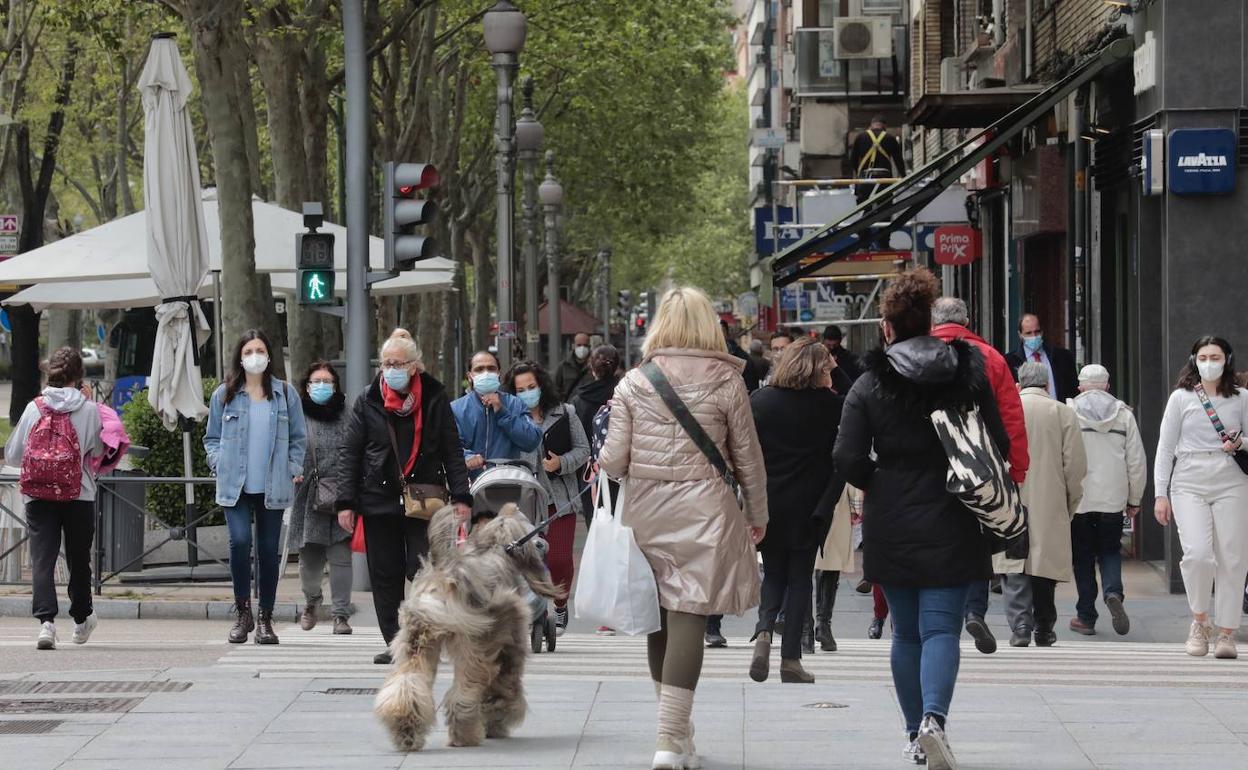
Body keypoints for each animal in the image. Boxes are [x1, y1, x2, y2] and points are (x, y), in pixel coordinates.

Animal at [374, 504, 561, 748]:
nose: (542, 544)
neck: (498, 550)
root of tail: (443, 575)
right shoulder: (509, 642)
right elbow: (504, 682)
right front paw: (498, 716)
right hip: (473, 642)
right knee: (463, 692)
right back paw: (464, 734)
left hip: (417, 640)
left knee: (407, 683)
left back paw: (406, 730)